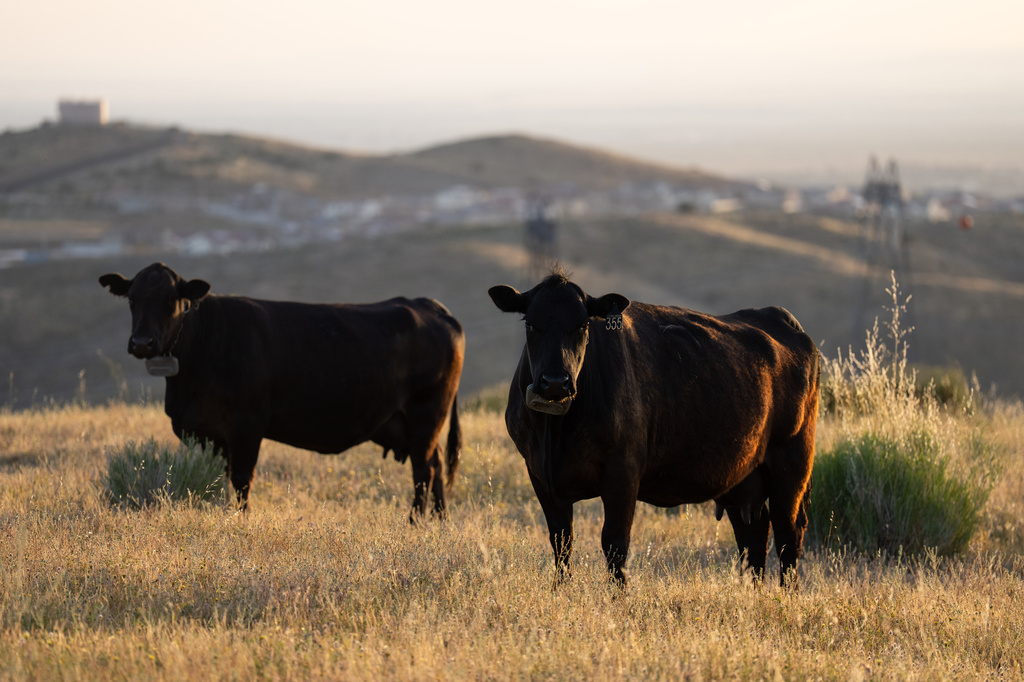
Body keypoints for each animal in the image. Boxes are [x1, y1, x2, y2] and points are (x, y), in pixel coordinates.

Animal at [100, 262, 464, 518]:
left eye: (173, 301)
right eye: (132, 299)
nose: (142, 342)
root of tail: (430, 306)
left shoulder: (246, 425)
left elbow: (241, 480)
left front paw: (241, 520)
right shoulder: (206, 432)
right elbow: (216, 478)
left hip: (426, 414)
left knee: (424, 470)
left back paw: (415, 522)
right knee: (435, 466)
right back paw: (439, 521)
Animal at [488, 270, 820, 587]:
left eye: (583, 325)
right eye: (530, 323)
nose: (555, 382)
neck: (555, 434)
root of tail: (780, 317)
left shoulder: (623, 471)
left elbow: (615, 543)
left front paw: (618, 598)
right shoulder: (539, 473)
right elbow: (561, 542)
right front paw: (561, 592)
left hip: (792, 463)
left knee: (788, 533)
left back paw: (786, 597)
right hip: (744, 477)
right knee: (754, 537)